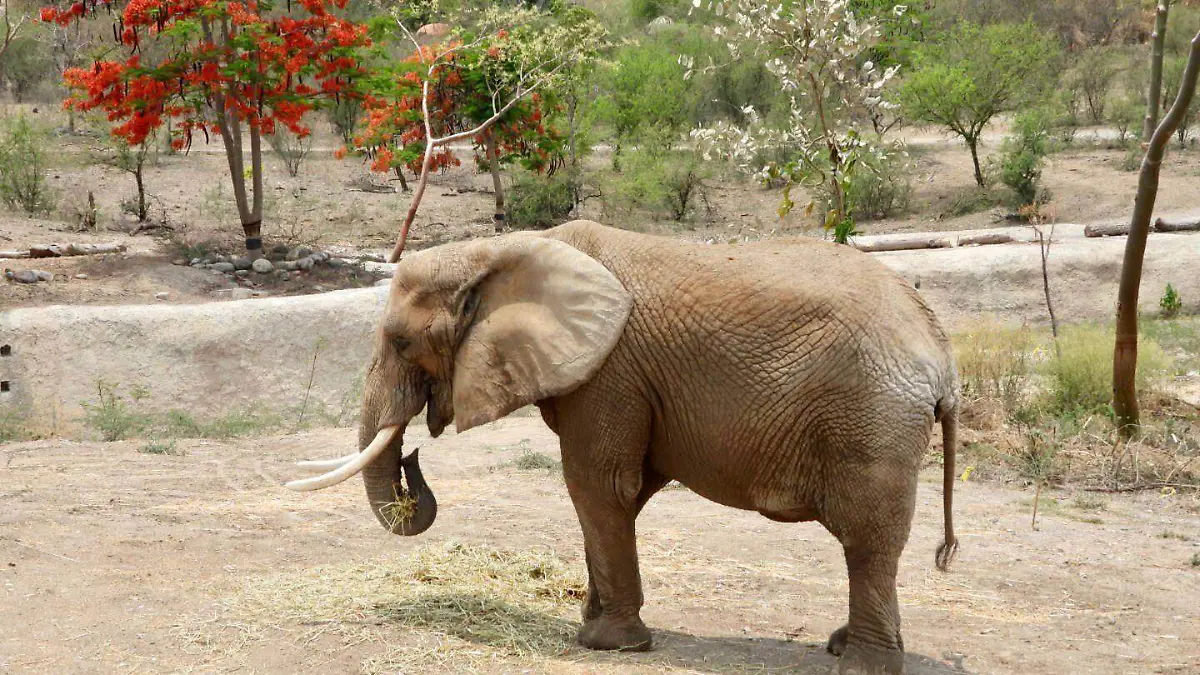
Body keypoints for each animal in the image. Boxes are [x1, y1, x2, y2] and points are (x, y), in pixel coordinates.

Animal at [288, 219, 960, 675]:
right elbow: (625, 492)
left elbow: (597, 484)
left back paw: (862, 664)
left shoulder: (609, 373)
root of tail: (941, 352)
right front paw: (591, 620)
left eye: (401, 342)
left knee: (867, 538)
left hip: (872, 418)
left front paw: (603, 644)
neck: (510, 250)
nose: (411, 460)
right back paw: (843, 645)